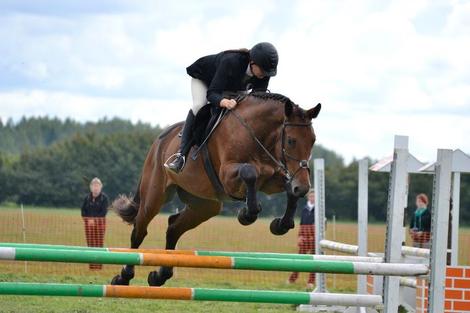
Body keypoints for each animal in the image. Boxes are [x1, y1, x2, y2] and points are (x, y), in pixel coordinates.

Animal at [112, 92, 322, 286]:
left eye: (313, 140)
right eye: (291, 141)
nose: (303, 187)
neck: (255, 135)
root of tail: (158, 141)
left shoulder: (272, 179)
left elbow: (287, 186)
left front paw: (281, 224)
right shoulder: (228, 176)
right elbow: (249, 172)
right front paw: (247, 214)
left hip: (204, 205)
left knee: (173, 227)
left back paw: (160, 276)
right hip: (154, 196)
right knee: (139, 231)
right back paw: (124, 276)